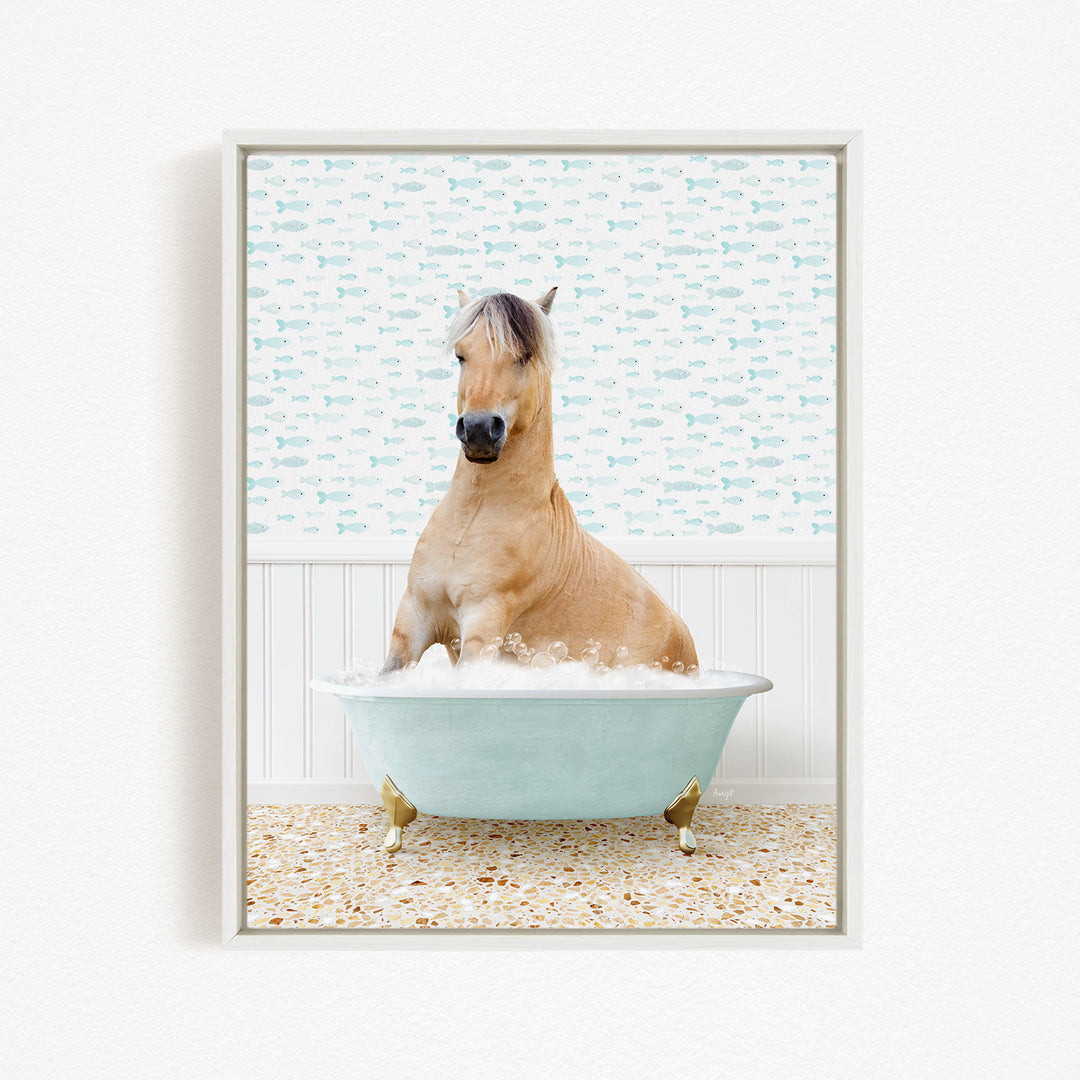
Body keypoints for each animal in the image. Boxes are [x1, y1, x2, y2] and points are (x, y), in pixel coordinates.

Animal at [382, 287, 699, 674]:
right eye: (461, 355)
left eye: (524, 356)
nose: (478, 430)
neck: (471, 521)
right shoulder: (414, 619)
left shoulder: (483, 625)